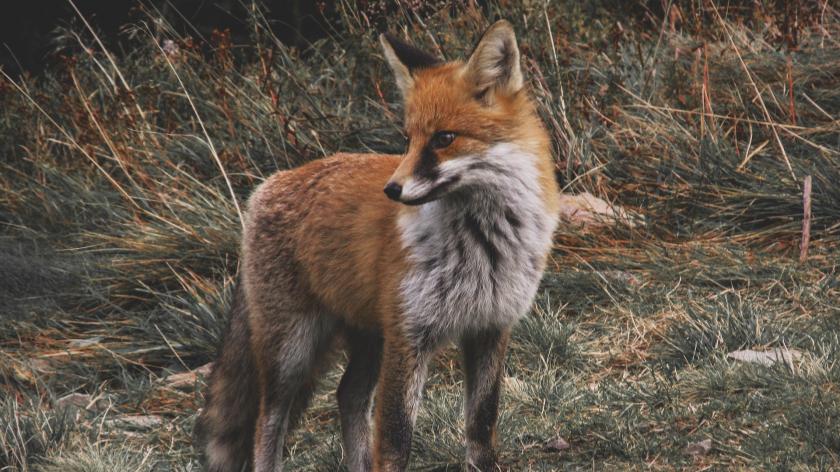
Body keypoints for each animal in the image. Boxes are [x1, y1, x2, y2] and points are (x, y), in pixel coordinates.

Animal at [196, 20, 560, 472]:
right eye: (408, 139)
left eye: (444, 138)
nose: (392, 189)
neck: (482, 245)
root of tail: (270, 183)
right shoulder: (409, 335)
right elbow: (395, 440)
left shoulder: (490, 327)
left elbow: (481, 426)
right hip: (292, 349)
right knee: (269, 420)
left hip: (369, 337)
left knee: (348, 395)